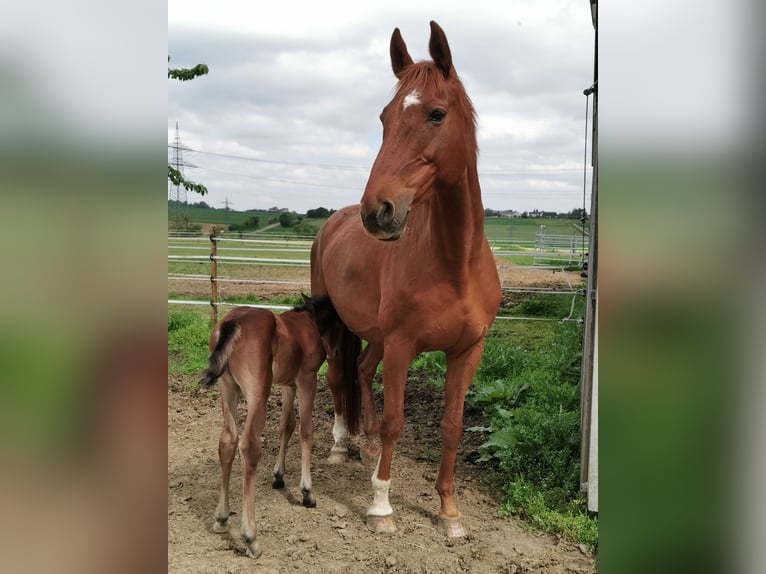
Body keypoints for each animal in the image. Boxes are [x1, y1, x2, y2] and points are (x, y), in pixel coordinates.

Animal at [201, 300, 336, 560]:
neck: (309, 322)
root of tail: (233, 322)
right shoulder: (307, 380)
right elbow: (306, 429)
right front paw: (307, 492)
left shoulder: (287, 384)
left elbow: (286, 425)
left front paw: (278, 476)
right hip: (257, 393)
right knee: (248, 446)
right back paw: (251, 538)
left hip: (227, 388)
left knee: (227, 441)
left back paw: (221, 519)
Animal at [312, 22, 504, 544]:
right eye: (383, 116)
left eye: (436, 114)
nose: (377, 212)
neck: (454, 265)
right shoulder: (401, 346)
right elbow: (397, 422)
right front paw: (381, 506)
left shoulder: (467, 351)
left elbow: (452, 425)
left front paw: (449, 512)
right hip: (333, 321)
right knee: (337, 377)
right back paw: (341, 446)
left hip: (373, 335)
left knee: (359, 372)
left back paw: (363, 444)